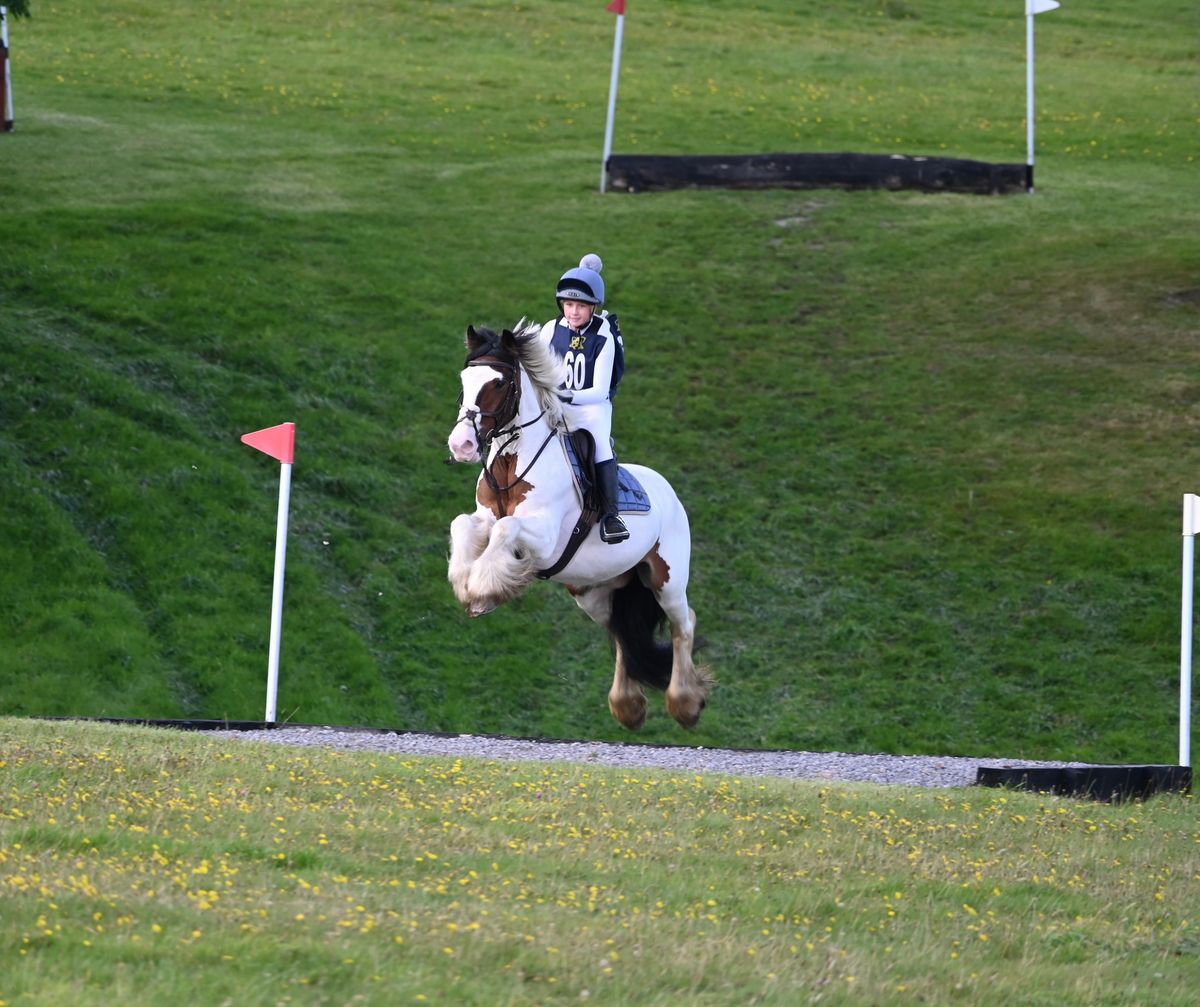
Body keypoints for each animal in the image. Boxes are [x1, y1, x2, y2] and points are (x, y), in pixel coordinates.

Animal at [451, 324, 710, 734]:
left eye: (499, 382)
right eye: (464, 380)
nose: (460, 444)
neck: (512, 464)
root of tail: (667, 490)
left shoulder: (543, 539)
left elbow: (506, 528)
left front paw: (481, 589)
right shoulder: (482, 518)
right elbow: (463, 523)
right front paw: (467, 586)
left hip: (665, 580)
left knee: (683, 625)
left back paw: (685, 704)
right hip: (594, 593)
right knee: (623, 634)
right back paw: (626, 707)